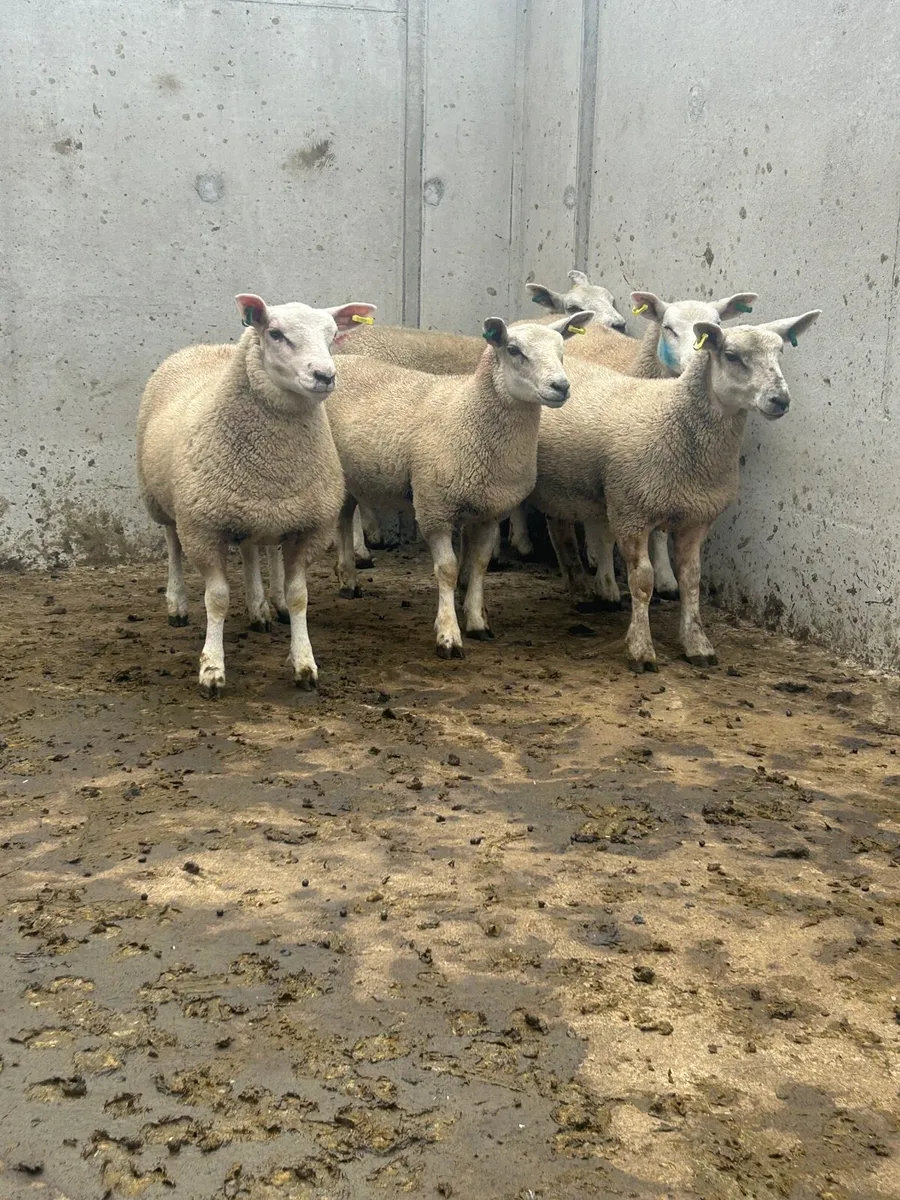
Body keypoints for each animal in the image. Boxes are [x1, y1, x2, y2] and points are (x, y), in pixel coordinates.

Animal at [137, 292, 376, 697]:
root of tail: (202, 348)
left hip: (253, 510)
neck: (272, 461)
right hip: (164, 502)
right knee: (172, 544)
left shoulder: (308, 528)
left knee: (250, 550)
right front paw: (212, 669)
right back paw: (177, 605)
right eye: (275, 333)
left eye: (332, 336)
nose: (325, 376)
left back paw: (259, 608)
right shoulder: (202, 528)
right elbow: (216, 599)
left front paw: (304, 664)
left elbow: (298, 597)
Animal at [324, 312, 594, 657]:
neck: (469, 414)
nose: (561, 386)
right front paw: (448, 635)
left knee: (344, 517)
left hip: (352, 473)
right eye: (514, 350)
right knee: (343, 517)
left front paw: (478, 623)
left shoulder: (489, 511)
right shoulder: (434, 508)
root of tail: (341, 361)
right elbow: (448, 570)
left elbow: (478, 565)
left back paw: (348, 579)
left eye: (562, 351)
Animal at [528, 310, 821, 670]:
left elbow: (692, 580)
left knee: (564, 526)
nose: (780, 400)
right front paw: (641, 649)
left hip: (570, 483)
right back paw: (581, 588)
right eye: (731, 355)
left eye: (779, 353)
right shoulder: (632, 511)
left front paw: (697, 644)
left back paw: (585, 587)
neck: (674, 416)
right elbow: (642, 580)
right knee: (562, 531)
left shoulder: (696, 517)